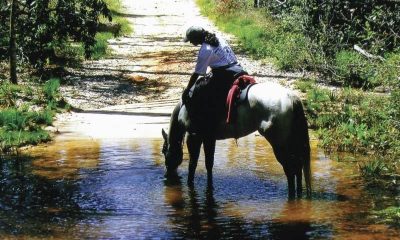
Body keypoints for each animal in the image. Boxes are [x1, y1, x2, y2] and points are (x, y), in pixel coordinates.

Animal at [161, 81, 310, 199]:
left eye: (163, 151)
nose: (167, 174)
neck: (185, 107)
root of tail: (292, 97)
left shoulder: (194, 136)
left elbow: (192, 165)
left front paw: (190, 185)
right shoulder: (209, 138)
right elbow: (209, 164)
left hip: (280, 144)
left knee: (290, 169)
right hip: (291, 143)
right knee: (298, 167)